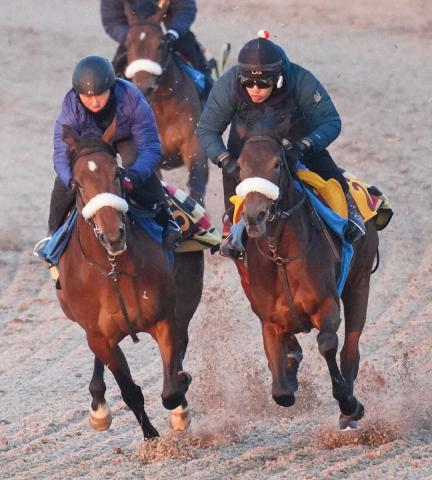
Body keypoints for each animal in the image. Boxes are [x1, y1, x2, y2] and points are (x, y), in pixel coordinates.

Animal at [57, 124, 204, 438]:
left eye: (116, 173)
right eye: (77, 183)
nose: (113, 235)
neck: (113, 267)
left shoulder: (164, 318)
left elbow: (171, 389)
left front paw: (181, 392)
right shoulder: (99, 337)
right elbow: (129, 391)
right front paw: (150, 437)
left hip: (188, 294)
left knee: (183, 338)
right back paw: (99, 406)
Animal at [115, 0, 208, 204]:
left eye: (161, 44)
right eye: (128, 45)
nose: (145, 87)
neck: (163, 110)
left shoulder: (194, 144)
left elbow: (196, 185)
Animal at [233, 118, 378, 430]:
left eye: (277, 164)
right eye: (240, 167)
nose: (254, 216)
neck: (279, 256)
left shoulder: (326, 303)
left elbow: (327, 343)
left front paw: (348, 403)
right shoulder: (270, 322)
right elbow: (281, 392)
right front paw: (288, 372)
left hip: (359, 283)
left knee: (350, 349)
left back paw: (350, 407)